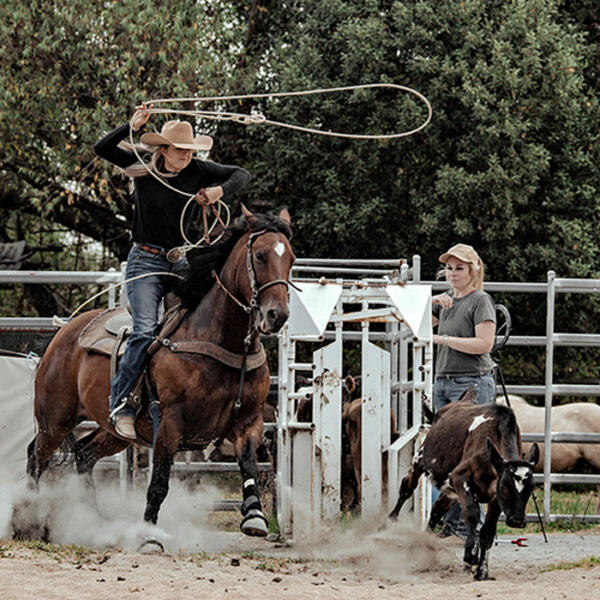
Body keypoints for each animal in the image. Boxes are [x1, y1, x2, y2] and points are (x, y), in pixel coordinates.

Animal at [27, 207, 296, 540]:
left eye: (291, 258)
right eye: (259, 255)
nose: (277, 315)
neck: (220, 340)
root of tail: (64, 330)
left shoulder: (249, 421)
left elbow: (248, 466)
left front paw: (255, 517)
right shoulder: (168, 422)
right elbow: (159, 482)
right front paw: (149, 536)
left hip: (113, 431)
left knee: (83, 453)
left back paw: (94, 523)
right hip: (54, 419)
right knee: (36, 458)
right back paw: (29, 521)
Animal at [390, 390, 540, 580]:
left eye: (530, 489)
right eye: (504, 487)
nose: (517, 520)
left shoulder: (495, 500)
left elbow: (487, 532)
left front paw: (482, 572)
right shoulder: (460, 479)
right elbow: (472, 513)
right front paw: (469, 557)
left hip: (449, 490)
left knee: (436, 510)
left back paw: (422, 544)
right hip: (420, 461)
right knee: (406, 487)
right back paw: (390, 521)